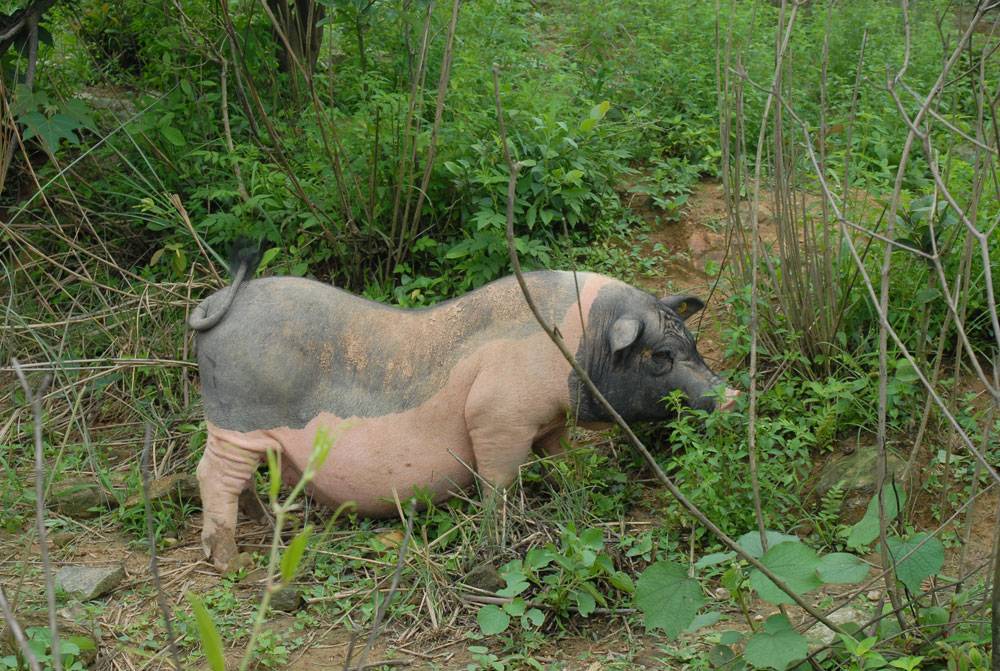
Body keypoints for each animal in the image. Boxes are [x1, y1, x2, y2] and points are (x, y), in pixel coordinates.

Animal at [188, 270, 740, 568]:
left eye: (692, 343)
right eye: (661, 356)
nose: (733, 394)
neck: (580, 345)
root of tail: (215, 301)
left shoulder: (550, 421)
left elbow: (560, 456)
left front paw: (573, 485)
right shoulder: (497, 414)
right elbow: (499, 478)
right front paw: (499, 530)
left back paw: (270, 523)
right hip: (235, 420)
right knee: (210, 476)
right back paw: (233, 561)